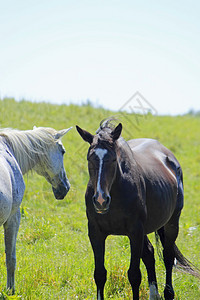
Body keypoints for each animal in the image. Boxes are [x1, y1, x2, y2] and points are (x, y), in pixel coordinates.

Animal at [76, 120, 198, 300]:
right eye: (90, 158)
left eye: (113, 159)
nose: (100, 200)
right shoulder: (95, 232)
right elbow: (99, 274)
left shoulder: (135, 232)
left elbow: (134, 274)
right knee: (149, 254)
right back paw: (154, 295)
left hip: (171, 223)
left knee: (168, 257)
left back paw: (168, 293)